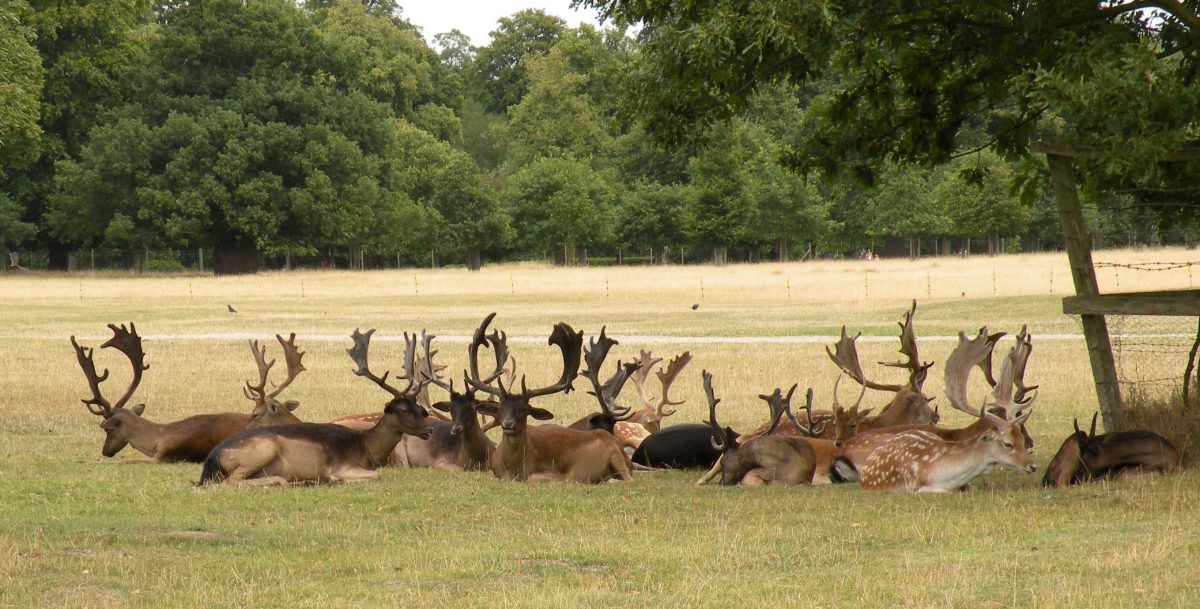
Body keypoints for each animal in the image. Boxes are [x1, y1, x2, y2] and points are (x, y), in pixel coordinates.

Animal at [196, 328, 436, 484]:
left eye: (419, 408)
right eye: (403, 409)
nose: (430, 429)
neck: (365, 448)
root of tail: (210, 459)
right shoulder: (340, 465)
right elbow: (374, 475)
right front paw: (335, 480)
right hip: (261, 450)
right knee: (231, 482)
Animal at [465, 311, 638, 481]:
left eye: (525, 409)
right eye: (500, 408)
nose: (508, 423)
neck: (515, 469)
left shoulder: (554, 473)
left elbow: (535, 478)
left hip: (616, 455)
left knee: (627, 478)